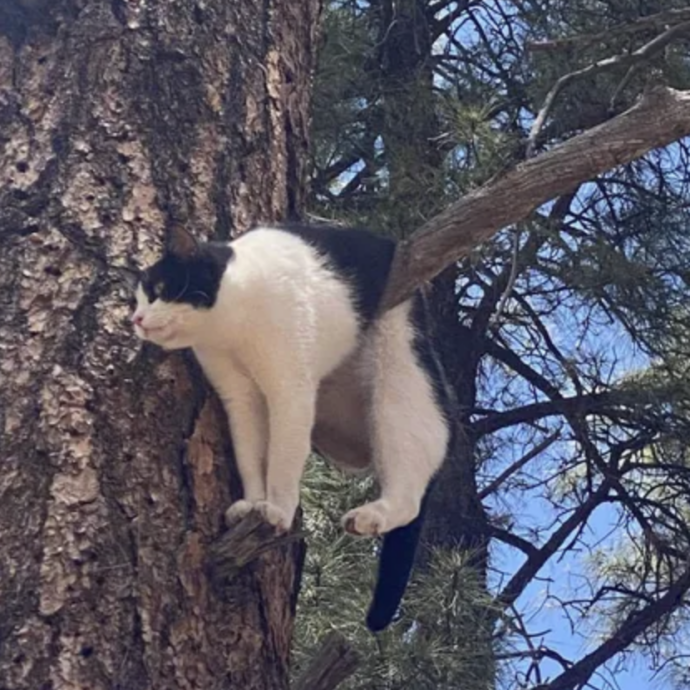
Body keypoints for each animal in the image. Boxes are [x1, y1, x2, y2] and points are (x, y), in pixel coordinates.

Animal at [132, 222, 452, 628]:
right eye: (138, 299)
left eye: (159, 290)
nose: (136, 320)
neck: (230, 325)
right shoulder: (240, 398)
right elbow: (251, 456)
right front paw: (253, 503)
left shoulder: (291, 390)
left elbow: (283, 461)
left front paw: (279, 512)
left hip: (398, 376)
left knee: (412, 486)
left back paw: (371, 516)